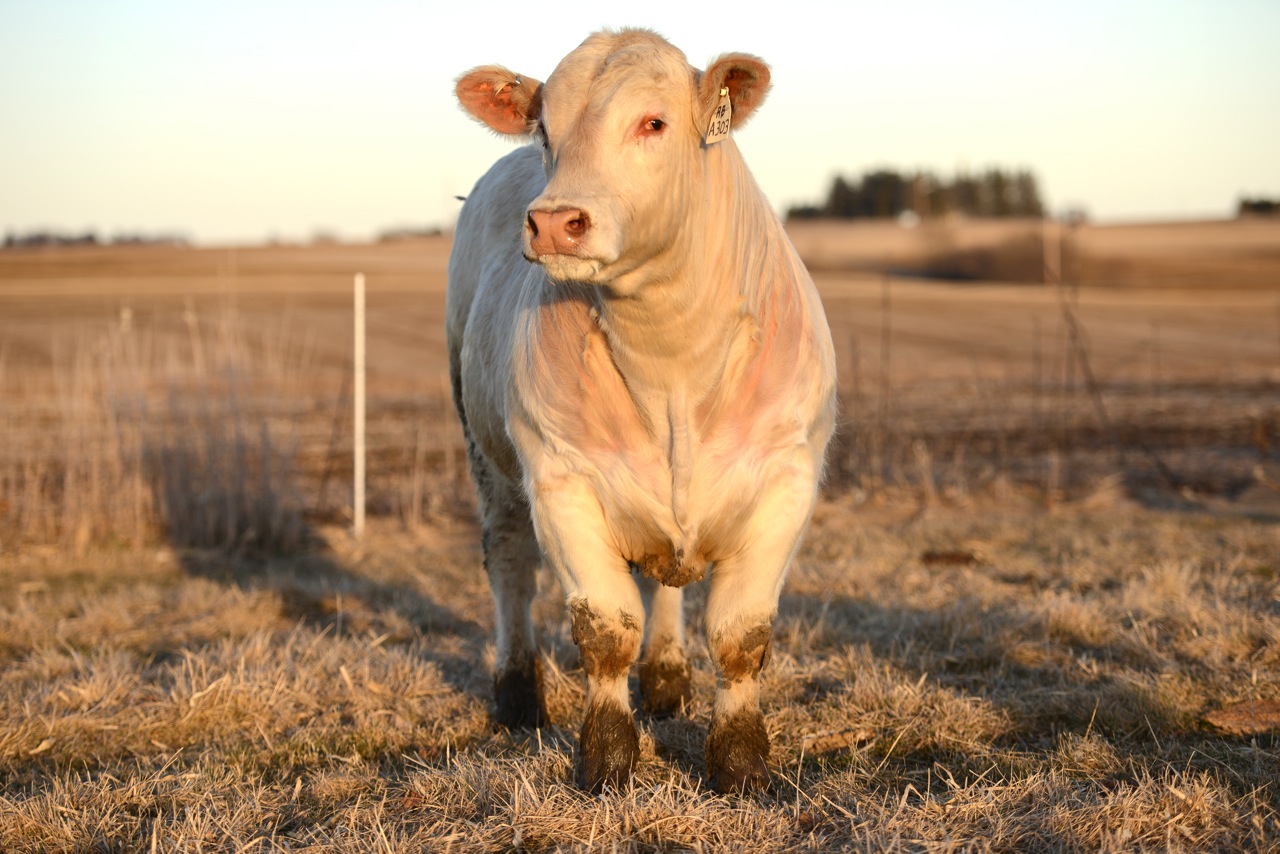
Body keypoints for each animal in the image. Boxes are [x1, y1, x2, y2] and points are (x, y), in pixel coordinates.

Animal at [447, 28, 836, 794]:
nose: (555, 222)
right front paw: (606, 758)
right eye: (545, 127)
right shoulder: (560, 480)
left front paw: (740, 761)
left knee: (663, 585)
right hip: (488, 457)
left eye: (653, 122)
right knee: (509, 562)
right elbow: (604, 631)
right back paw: (518, 696)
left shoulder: (788, 478)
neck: (672, 364)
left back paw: (664, 679)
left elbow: (739, 635)